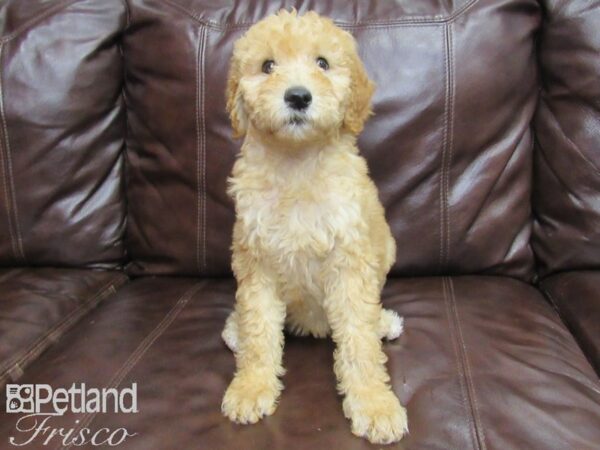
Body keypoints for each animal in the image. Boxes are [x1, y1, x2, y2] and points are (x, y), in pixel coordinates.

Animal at [220, 8, 408, 444]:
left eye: (322, 63)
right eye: (267, 66)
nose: (298, 96)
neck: (297, 164)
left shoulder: (350, 261)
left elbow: (359, 340)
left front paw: (375, 404)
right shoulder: (256, 260)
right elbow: (259, 330)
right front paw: (251, 387)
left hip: (387, 247)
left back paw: (384, 321)